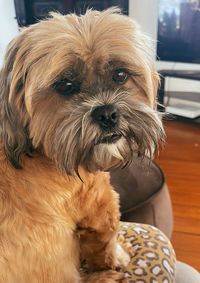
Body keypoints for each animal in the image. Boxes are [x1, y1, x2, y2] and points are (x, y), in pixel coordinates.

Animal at [0, 7, 164, 282]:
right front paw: (121, 257)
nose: (107, 114)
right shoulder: (100, 211)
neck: (42, 153)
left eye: (120, 74)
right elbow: (107, 247)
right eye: (65, 85)